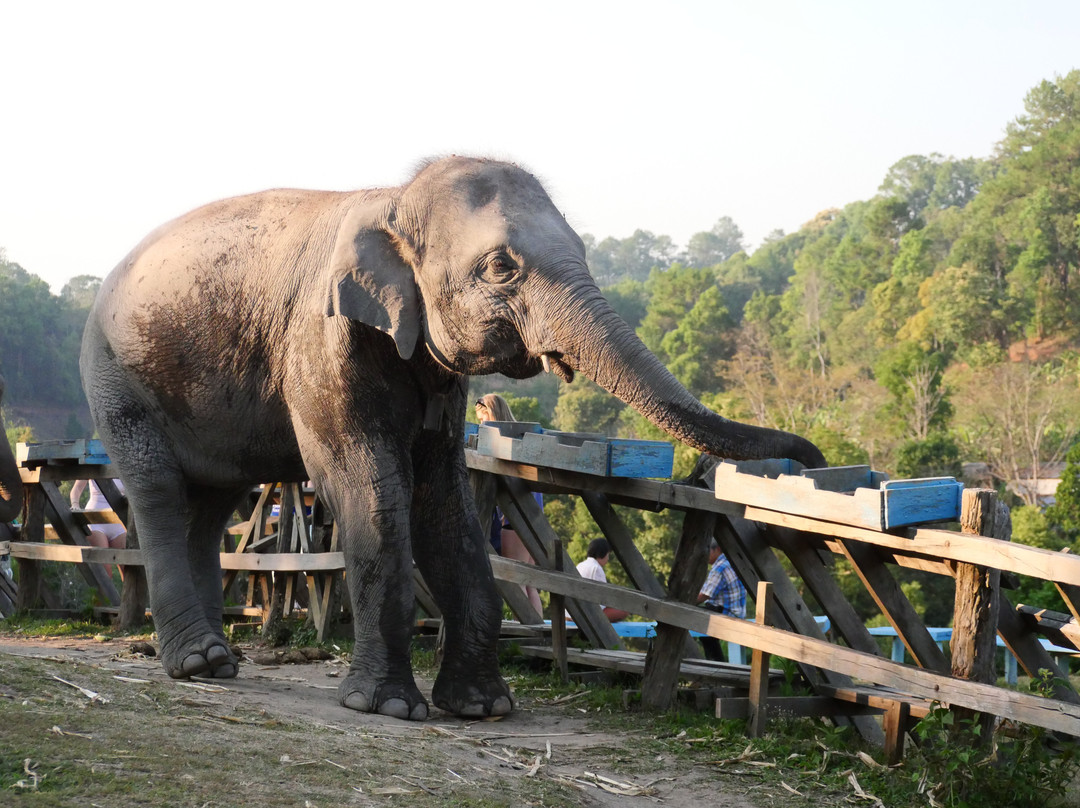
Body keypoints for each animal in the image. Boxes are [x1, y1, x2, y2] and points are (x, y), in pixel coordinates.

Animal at [80, 156, 825, 721]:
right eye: (500, 266)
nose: (810, 458)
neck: (391, 198)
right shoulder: (320, 343)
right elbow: (368, 486)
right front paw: (389, 708)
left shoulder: (438, 377)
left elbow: (443, 497)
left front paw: (482, 708)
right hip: (116, 379)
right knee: (161, 495)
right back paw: (196, 662)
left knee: (210, 503)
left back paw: (219, 664)